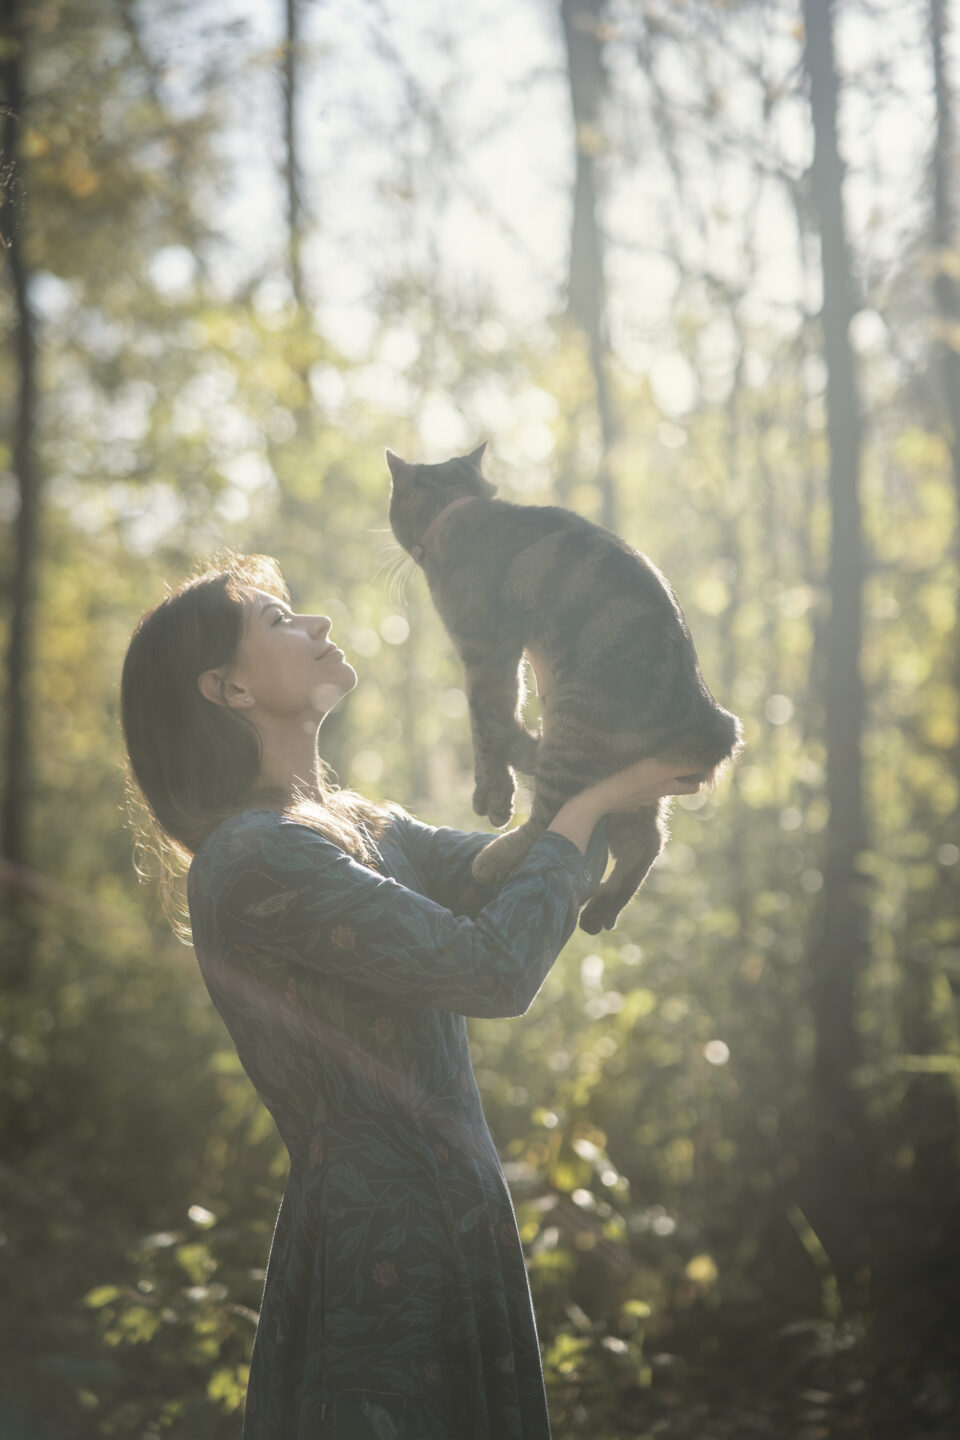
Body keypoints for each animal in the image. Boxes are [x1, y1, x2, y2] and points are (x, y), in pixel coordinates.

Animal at [385, 440, 742, 933]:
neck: (464, 507)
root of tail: (711, 723)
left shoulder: (485, 653)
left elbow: (484, 725)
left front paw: (493, 793)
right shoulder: (498, 658)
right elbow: (489, 726)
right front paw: (490, 788)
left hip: (573, 725)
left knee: (551, 819)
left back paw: (496, 858)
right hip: (629, 782)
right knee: (646, 841)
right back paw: (601, 910)